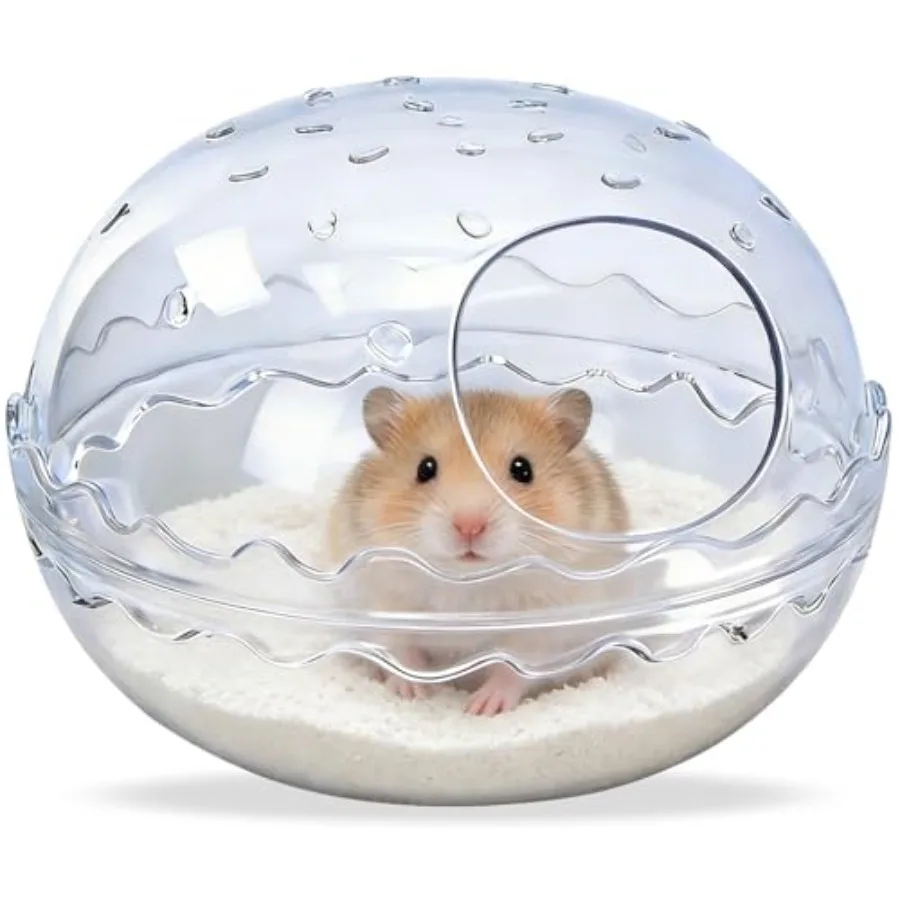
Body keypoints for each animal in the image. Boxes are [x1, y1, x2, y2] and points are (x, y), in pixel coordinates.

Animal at [325, 387, 631, 716]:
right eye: (425, 468)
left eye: (523, 469)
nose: (469, 526)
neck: (467, 582)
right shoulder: (378, 604)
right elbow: (399, 650)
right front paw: (414, 693)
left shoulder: (550, 623)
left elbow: (516, 666)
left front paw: (481, 708)